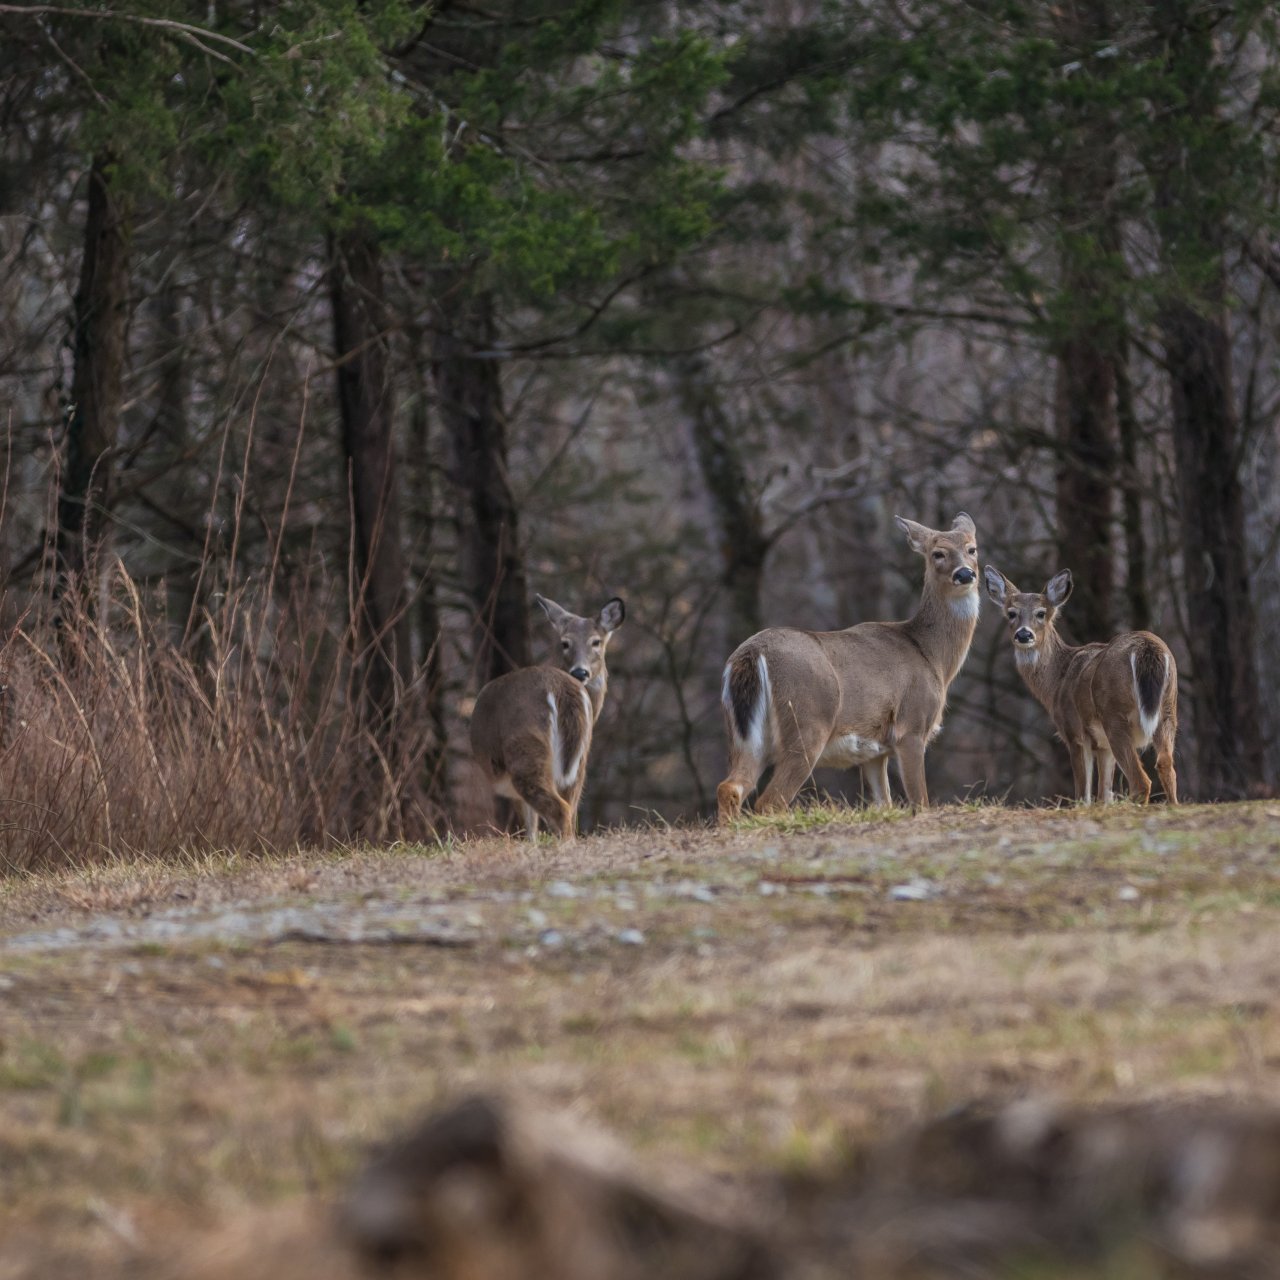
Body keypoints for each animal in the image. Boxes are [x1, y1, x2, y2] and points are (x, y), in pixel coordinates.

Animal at [470, 595, 625, 842]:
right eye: (565, 643)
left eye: (596, 642)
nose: (580, 672)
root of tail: (560, 688)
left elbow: (530, 827)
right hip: (579, 762)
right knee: (570, 808)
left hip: (525, 747)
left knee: (557, 808)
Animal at [716, 513, 981, 823]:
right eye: (937, 553)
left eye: (972, 548)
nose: (965, 574)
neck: (932, 655)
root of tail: (751, 653)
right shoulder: (912, 725)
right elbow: (920, 801)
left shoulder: (875, 752)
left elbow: (883, 803)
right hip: (808, 723)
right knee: (769, 801)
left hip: (746, 737)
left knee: (730, 787)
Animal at [983, 566, 1178, 805]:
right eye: (1011, 613)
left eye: (1041, 613)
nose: (1024, 634)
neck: (1056, 680)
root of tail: (1146, 648)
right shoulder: (1102, 745)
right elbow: (1104, 795)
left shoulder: (1073, 732)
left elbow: (1083, 795)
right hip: (1167, 710)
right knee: (1166, 766)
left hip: (1114, 715)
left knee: (1141, 781)